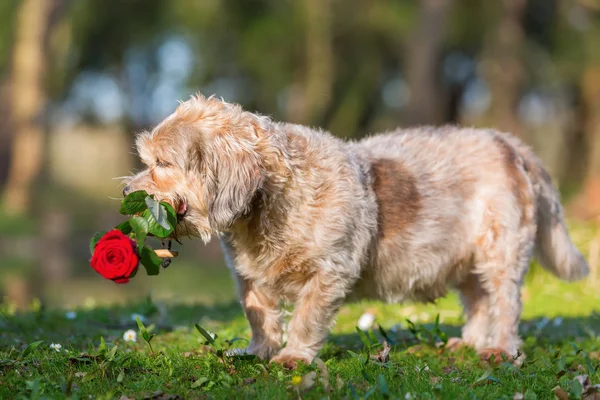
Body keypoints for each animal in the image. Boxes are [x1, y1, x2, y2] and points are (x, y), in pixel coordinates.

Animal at [124, 94, 588, 368]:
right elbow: (260, 317)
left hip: (498, 256)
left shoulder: (328, 273)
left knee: (505, 303)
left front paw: (294, 356)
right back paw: (470, 343)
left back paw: (499, 348)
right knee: (478, 302)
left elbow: (306, 318)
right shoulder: (249, 279)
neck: (269, 201)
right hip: (466, 263)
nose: (128, 190)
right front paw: (258, 351)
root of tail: (510, 144)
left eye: (162, 163)